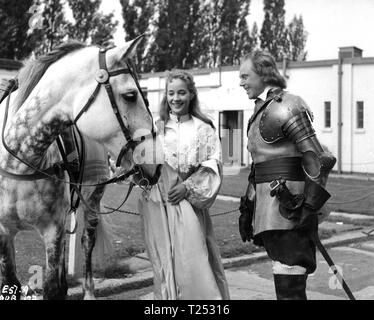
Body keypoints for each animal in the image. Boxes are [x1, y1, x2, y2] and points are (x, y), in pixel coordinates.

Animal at [0, 36, 161, 298]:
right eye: (130, 95)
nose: (155, 162)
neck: (17, 161)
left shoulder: (52, 230)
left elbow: (54, 287)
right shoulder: (4, 233)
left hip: (93, 199)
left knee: (87, 241)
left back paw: (88, 291)